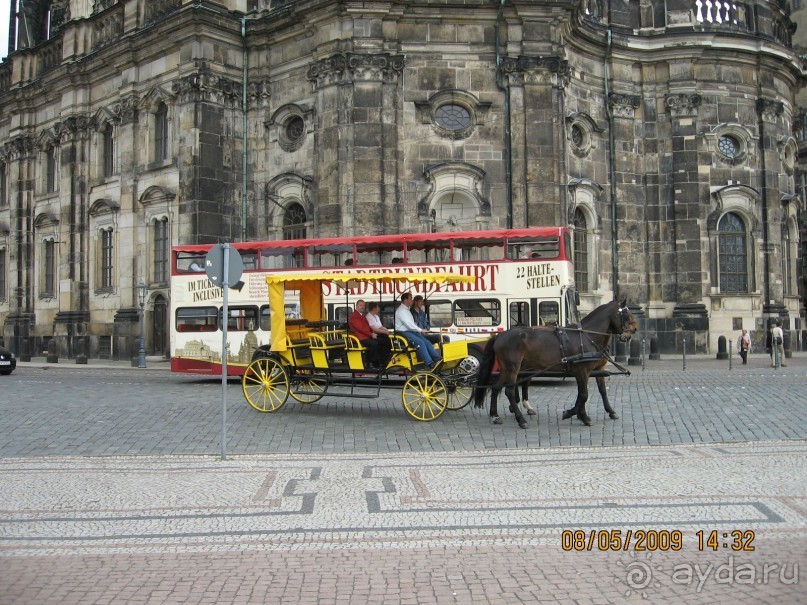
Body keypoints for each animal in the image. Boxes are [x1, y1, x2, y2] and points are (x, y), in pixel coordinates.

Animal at [474, 300, 636, 428]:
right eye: (626, 315)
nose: (632, 331)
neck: (586, 336)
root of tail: (500, 335)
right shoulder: (582, 371)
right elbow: (583, 394)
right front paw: (572, 413)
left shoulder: (593, 370)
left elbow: (597, 392)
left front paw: (598, 413)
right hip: (513, 368)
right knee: (509, 391)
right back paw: (521, 420)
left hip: (506, 369)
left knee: (496, 387)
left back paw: (495, 415)